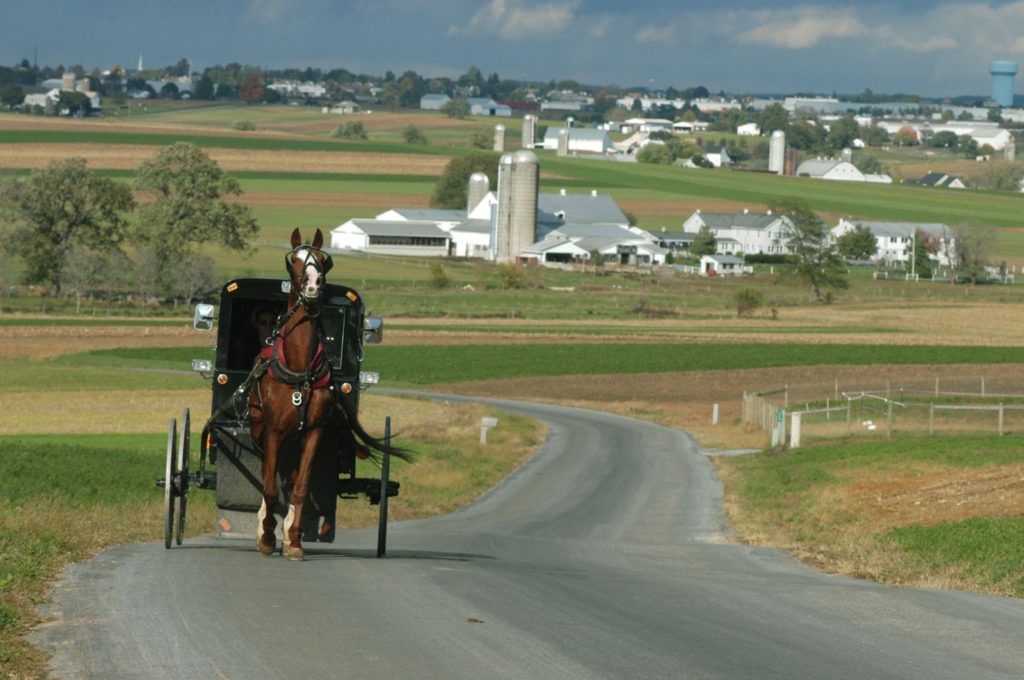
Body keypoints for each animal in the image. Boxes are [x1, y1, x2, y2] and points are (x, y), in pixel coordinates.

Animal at [245, 227, 409, 557]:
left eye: (323, 260)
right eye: (294, 260)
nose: (313, 284)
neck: (299, 369)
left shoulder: (313, 433)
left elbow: (301, 487)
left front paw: (294, 540)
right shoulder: (272, 432)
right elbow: (269, 487)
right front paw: (267, 536)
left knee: (291, 478)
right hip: (260, 431)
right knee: (270, 476)